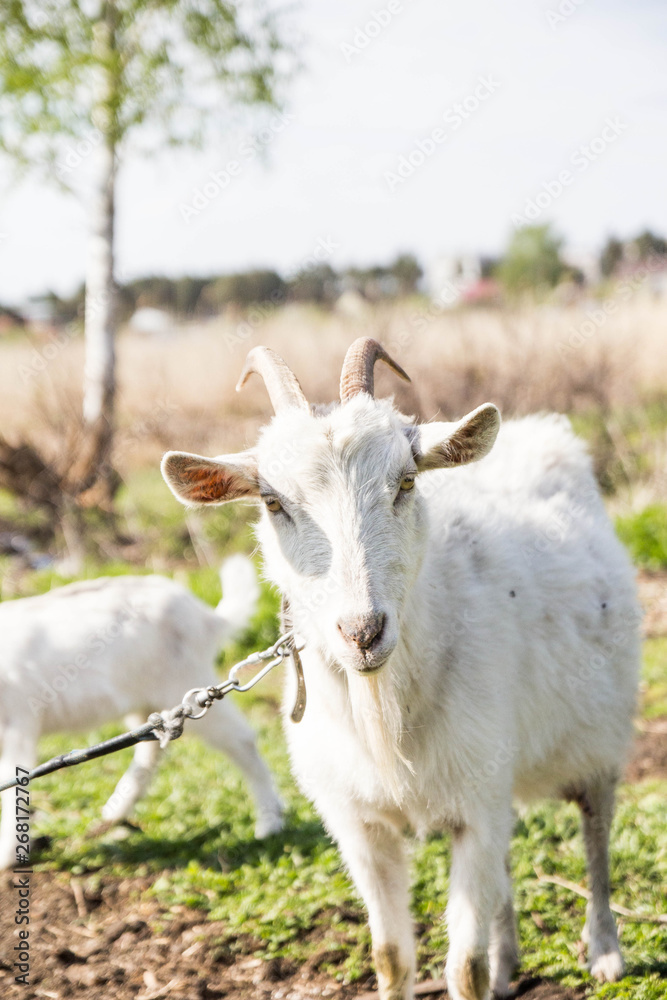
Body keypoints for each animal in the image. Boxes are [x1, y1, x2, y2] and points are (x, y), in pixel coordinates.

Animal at [0, 556, 284, 868]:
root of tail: (207, 617)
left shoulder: (19, 723)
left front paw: (7, 857)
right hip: (148, 702)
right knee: (151, 747)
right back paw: (117, 809)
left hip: (189, 688)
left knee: (242, 740)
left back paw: (270, 822)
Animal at [163, 338, 640, 1000]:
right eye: (273, 502)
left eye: (406, 481)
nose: (363, 632)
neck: (386, 707)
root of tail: (543, 432)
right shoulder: (363, 823)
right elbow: (390, 955)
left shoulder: (474, 808)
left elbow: (463, 969)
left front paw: (488, 968)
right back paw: (509, 961)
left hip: (599, 736)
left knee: (596, 834)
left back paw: (604, 951)